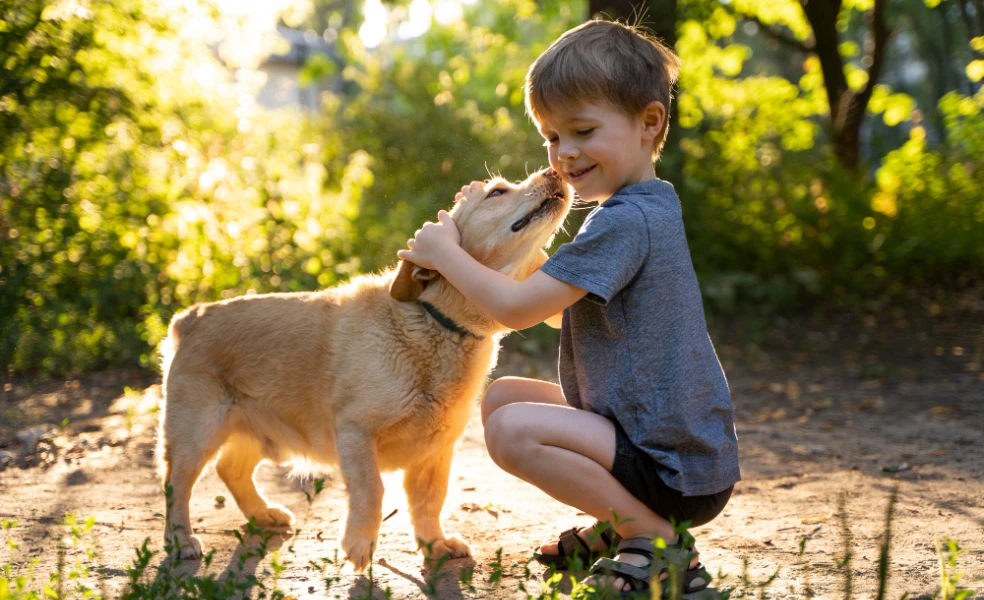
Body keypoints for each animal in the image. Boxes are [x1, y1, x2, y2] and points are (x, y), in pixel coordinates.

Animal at [157, 168, 572, 568]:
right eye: (497, 192)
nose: (556, 171)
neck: (436, 323)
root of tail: (191, 316)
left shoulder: (436, 450)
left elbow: (429, 501)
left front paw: (434, 544)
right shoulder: (356, 432)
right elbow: (372, 491)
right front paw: (359, 544)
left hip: (259, 434)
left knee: (232, 471)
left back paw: (263, 514)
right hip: (196, 435)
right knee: (176, 486)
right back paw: (181, 540)